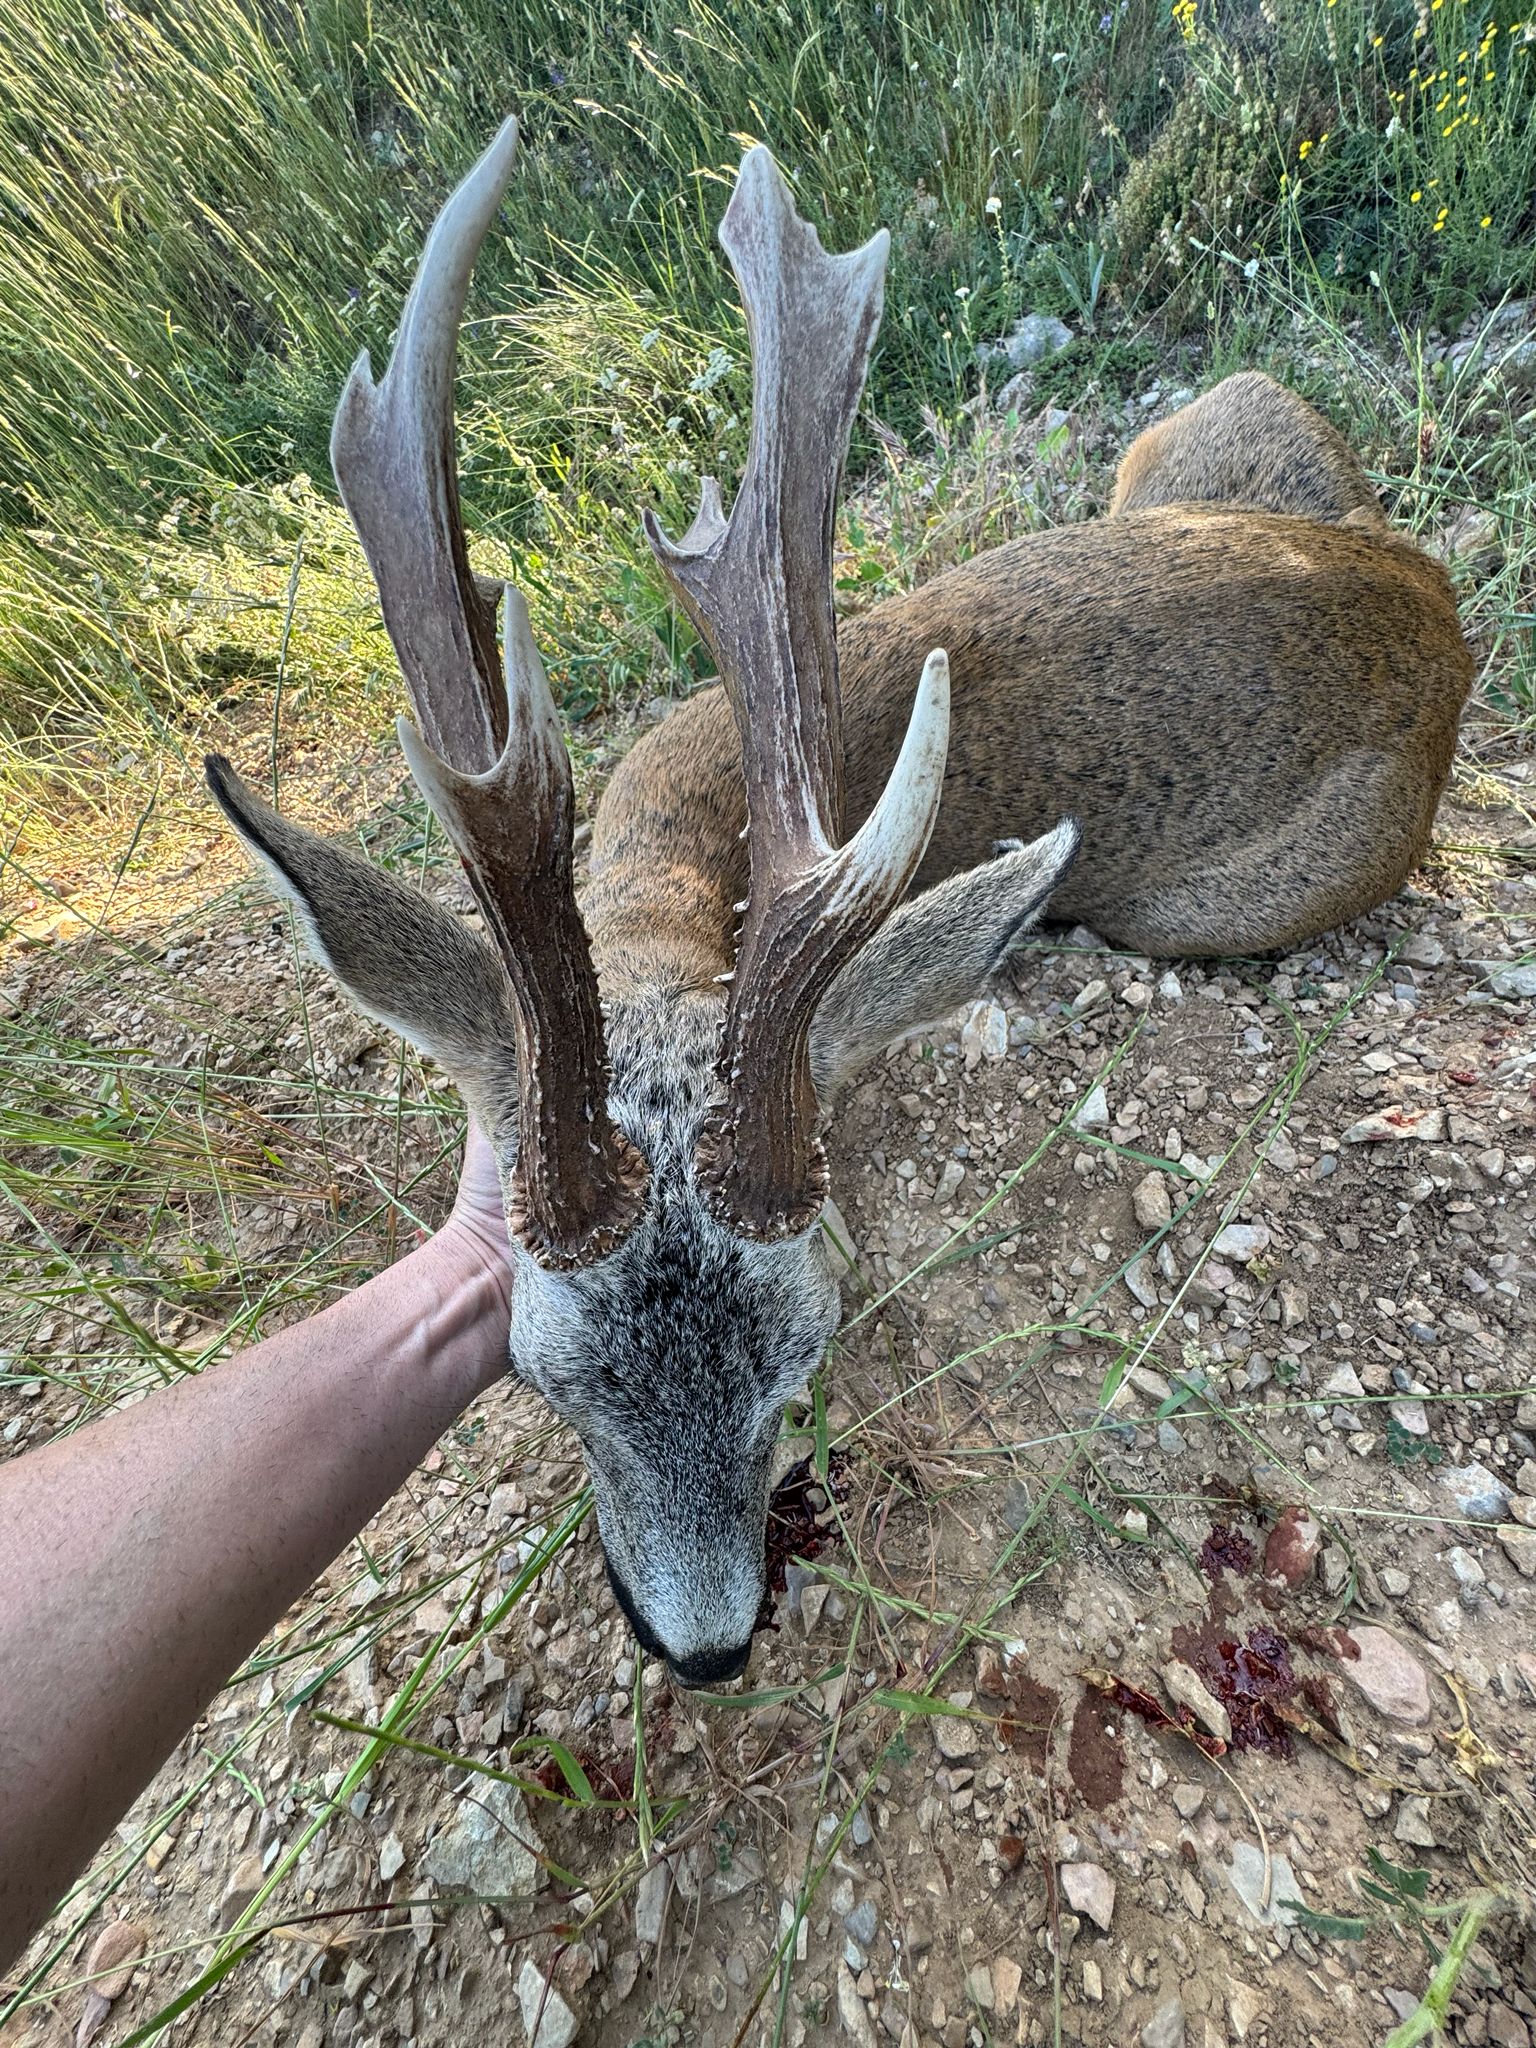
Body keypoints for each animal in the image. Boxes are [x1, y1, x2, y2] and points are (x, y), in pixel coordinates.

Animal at [205, 119, 1471, 1687]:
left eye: (803, 1356)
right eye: (544, 1381)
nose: (704, 1647)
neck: (671, 883)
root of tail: (1440, 611)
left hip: (1255, 888)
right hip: (1196, 437)